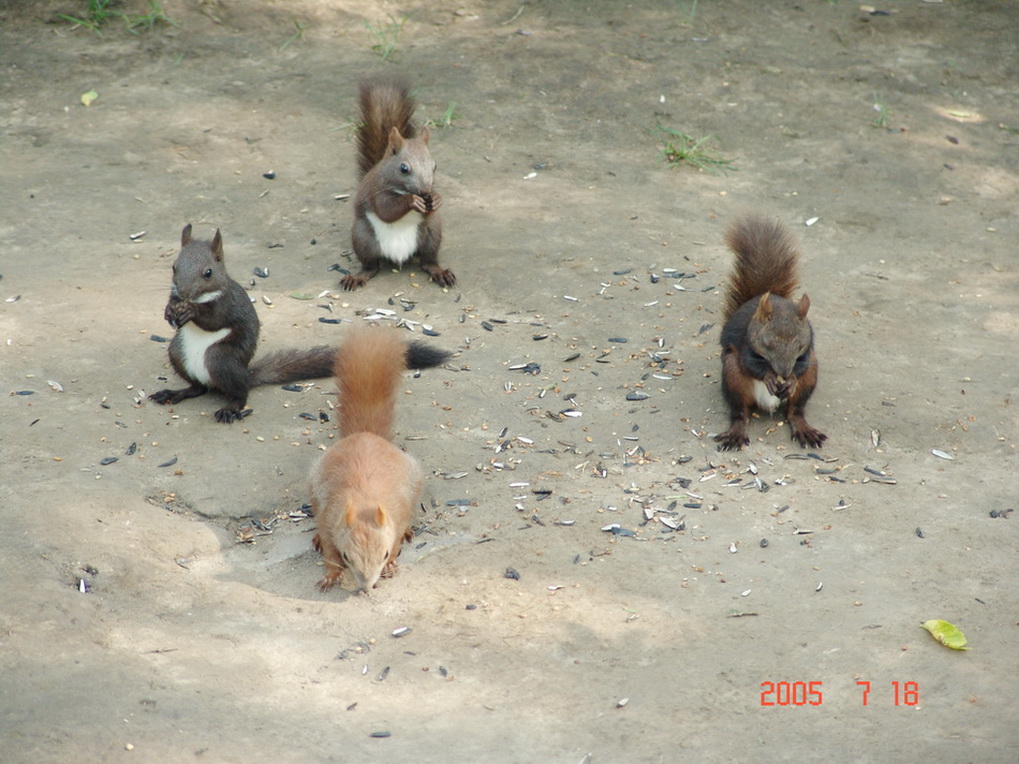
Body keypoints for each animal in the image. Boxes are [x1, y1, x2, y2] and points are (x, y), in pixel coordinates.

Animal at [148, 221, 336, 425]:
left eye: (208, 272)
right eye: (174, 267)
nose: (183, 293)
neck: (202, 297)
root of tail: (246, 375)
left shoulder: (226, 304)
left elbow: (214, 320)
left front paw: (191, 311)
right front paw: (169, 311)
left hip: (220, 360)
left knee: (240, 393)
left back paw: (230, 408)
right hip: (177, 352)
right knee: (198, 388)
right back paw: (174, 393)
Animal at [307, 325, 448, 594]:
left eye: (382, 554)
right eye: (347, 556)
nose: (366, 587)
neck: (364, 500)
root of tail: (365, 434)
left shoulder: (397, 515)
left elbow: (396, 541)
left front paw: (392, 565)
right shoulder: (329, 518)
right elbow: (330, 551)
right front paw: (330, 576)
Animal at [342, 77, 454, 291]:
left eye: (434, 166)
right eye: (404, 168)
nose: (425, 191)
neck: (400, 189)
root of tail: (399, 256)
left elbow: (429, 210)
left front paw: (436, 199)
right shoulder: (377, 192)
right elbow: (387, 210)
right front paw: (412, 201)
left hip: (432, 233)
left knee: (428, 261)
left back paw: (439, 272)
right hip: (363, 237)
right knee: (371, 266)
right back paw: (358, 277)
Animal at [709, 215, 827, 452]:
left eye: (799, 345)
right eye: (767, 343)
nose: (783, 371)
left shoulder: (808, 350)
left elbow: (801, 364)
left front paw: (790, 379)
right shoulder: (745, 342)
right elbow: (750, 364)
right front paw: (769, 377)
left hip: (810, 377)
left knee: (795, 411)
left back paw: (803, 428)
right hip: (733, 376)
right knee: (740, 412)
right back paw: (736, 431)